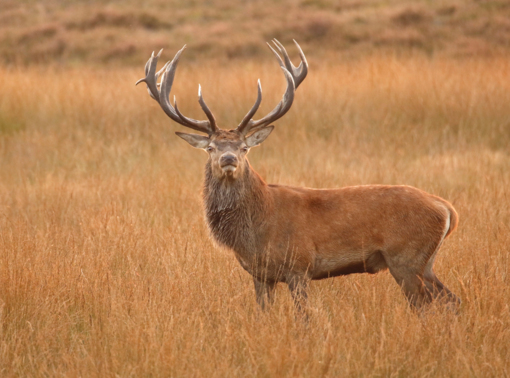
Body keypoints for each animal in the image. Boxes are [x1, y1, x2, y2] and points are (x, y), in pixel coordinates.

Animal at [134, 39, 458, 314]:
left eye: (244, 148)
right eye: (211, 147)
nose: (228, 160)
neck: (256, 230)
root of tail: (446, 209)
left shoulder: (300, 266)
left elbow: (305, 318)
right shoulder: (260, 275)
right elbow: (262, 315)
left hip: (406, 257)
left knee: (428, 306)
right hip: (425, 262)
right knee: (452, 300)